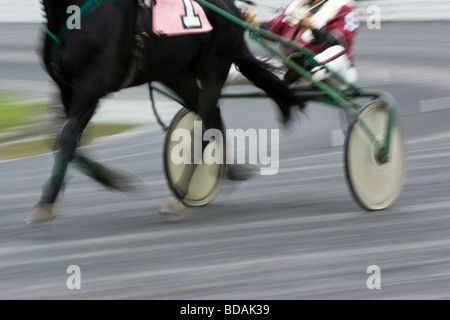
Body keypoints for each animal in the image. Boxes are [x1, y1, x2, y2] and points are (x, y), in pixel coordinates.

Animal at [26, 0, 304, 224]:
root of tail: (234, 8)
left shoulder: (92, 86)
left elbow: (67, 137)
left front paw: (44, 204)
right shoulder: (66, 88)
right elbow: (63, 140)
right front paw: (114, 178)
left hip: (214, 65)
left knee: (205, 126)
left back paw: (178, 197)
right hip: (175, 72)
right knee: (211, 115)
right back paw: (231, 170)